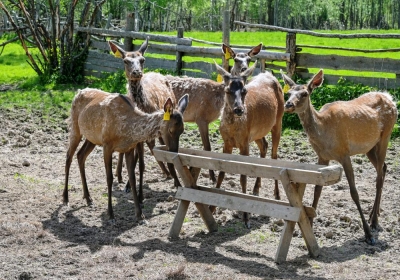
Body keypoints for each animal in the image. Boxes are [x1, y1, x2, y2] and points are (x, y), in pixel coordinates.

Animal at [63, 87, 189, 223]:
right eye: (171, 130)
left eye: (182, 131)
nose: (174, 152)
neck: (127, 130)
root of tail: (78, 92)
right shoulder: (107, 145)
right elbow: (109, 178)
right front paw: (110, 213)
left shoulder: (129, 148)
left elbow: (132, 177)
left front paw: (140, 214)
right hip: (75, 126)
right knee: (68, 156)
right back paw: (65, 198)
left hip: (92, 138)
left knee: (80, 155)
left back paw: (88, 198)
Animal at [108, 38, 180, 189]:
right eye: (125, 60)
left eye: (142, 59)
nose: (136, 72)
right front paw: (128, 184)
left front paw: (175, 180)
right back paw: (120, 176)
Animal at [166, 42, 262, 183]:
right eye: (236, 59)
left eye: (249, 59)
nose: (244, 69)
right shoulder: (200, 118)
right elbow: (207, 147)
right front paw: (213, 177)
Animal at [212, 61, 284, 228]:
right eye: (227, 90)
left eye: (244, 90)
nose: (239, 109)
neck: (233, 129)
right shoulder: (226, 143)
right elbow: (221, 172)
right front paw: (211, 208)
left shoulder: (244, 143)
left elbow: (243, 177)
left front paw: (246, 217)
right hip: (257, 132)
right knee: (264, 146)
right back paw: (256, 189)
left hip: (278, 121)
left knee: (274, 155)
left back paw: (277, 194)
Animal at [280, 69, 398, 244]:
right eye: (288, 93)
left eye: (305, 93)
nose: (288, 104)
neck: (324, 132)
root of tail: (391, 99)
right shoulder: (322, 156)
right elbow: (317, 190)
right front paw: (310, 225)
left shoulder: (344, 153)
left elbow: (354, 192)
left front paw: (368, 235)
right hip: (370, 146)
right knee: (383, 167)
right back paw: (374, 215)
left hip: (386, 135)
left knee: (378, 177)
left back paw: (374, 222)